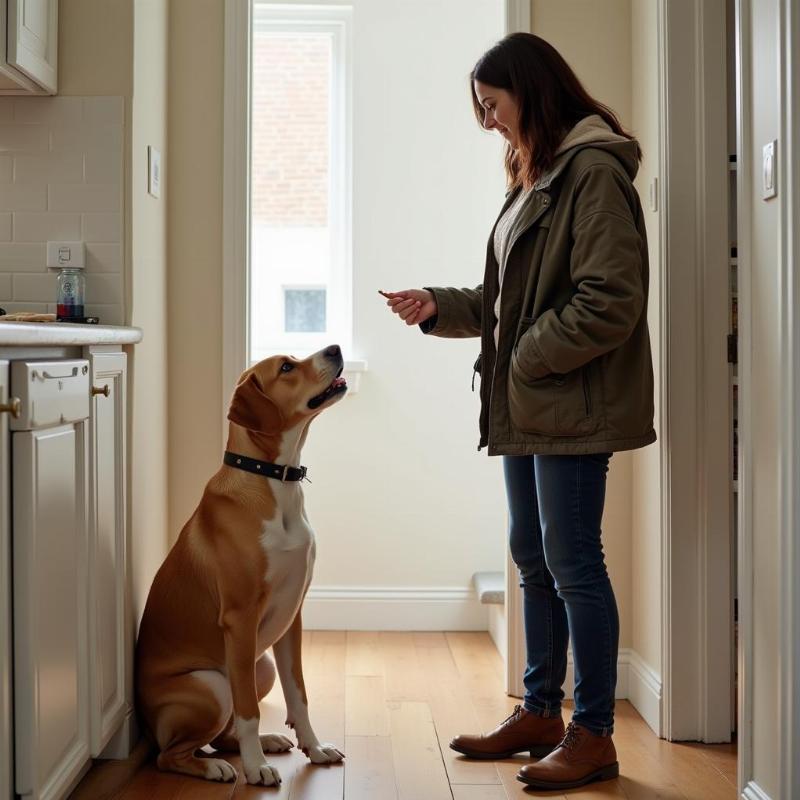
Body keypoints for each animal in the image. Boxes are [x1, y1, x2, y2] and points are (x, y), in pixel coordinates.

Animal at [135, 346, 346, 788]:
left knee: (222, 736)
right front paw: (256, 769)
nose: (334, 349)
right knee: (172, 754)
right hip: (213, 684)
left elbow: (299, 695)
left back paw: (269, 742)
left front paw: (314, 748)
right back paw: (219, 767)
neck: (276, 482)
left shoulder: (292, 618)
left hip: (260, 665)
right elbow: (249, 710)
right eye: (286, 367)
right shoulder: (241, 618)